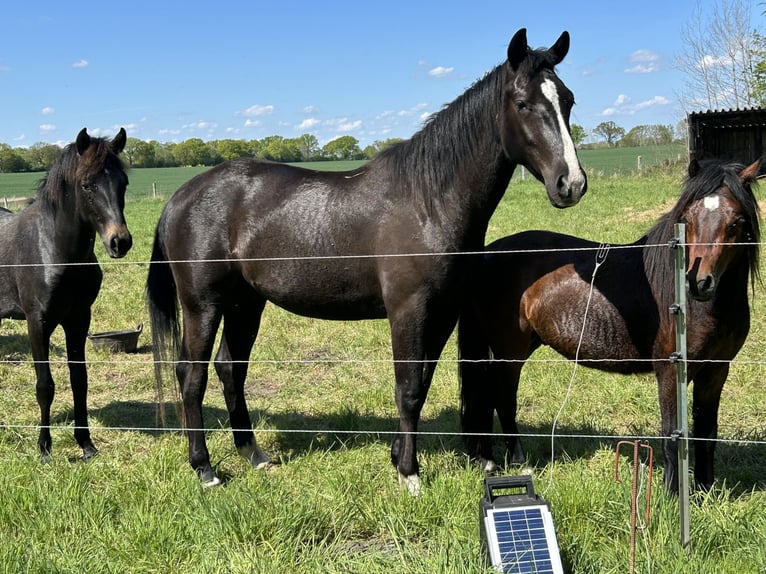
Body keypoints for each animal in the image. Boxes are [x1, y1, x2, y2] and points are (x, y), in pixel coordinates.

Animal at [0, 128, 132, 461]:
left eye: (123, 183)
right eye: (86, 185)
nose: (120, 242)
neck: (54, 251)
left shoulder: (78, 320)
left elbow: (79, 380)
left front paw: (86, 444)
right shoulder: (37, 323)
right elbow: (45, 385)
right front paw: (44, 448)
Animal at [146, 28, 588, 491]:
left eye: (568, 99)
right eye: (522, 103)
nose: (571, 184)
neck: (427, 202)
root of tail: (181, 196)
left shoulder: (442, 312)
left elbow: (422, 383)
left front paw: (397, 457)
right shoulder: (408, 310)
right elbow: (407, 389)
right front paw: (410, 474)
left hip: (245, 302)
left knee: (231, 369)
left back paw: (254, 455)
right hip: (203, 305)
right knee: (191, 376)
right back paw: (205, 469)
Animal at [458, 159, 761, 494]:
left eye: (736, 223)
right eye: (687, 219)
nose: (698, 282)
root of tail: (486, 255)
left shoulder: (716, 371)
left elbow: (707, 433)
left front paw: (706, 490)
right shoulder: (671, 373)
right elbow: (671, 435)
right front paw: (671, 496)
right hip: (509, 351)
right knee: (501, 398)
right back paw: (518, 461)